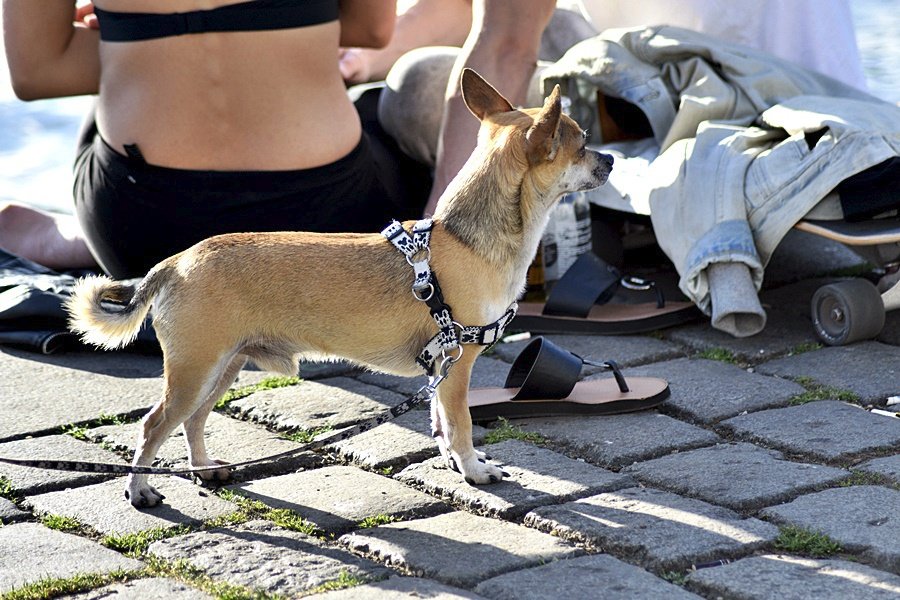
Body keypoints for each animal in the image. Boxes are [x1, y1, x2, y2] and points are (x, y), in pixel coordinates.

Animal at [67, 71, 616, 510]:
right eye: (582, 144)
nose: (611, 158)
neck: (465, 236)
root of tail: (175, 263)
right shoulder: (457, 366)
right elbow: (459, 423)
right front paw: (474, 471)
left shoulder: (439, 370)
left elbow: (440, 421)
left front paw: (453, 462)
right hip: (195, 371)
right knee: (153, 425)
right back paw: (139, 490)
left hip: (222, 368)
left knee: (194, 421)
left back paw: (205, 471)